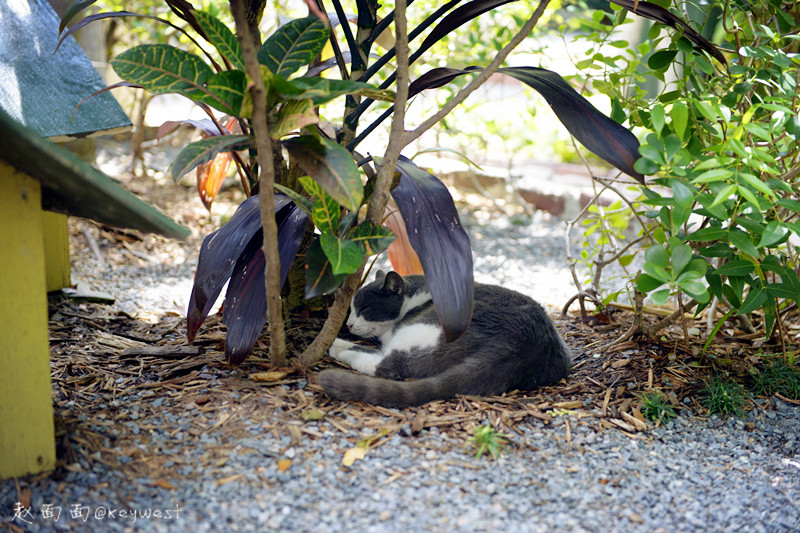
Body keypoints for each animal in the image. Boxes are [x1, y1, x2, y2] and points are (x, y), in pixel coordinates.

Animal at [316, 270, 572, 408]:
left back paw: (337, 348)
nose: (348, 324)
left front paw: (337, 342)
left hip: (424, 328)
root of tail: (519, 346)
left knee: (388, 365)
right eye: (351, 309)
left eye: (366, 308)